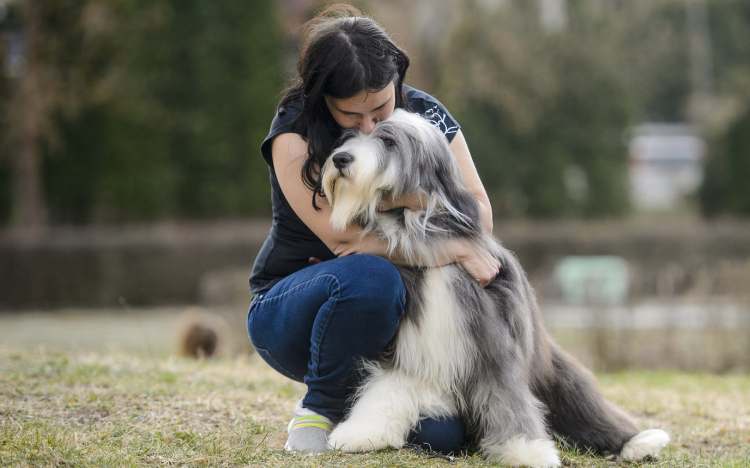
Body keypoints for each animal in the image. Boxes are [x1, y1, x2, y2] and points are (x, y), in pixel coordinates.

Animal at [320, 108, 672, 466]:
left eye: (389, 142)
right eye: (352, 135)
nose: (340, 158)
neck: (421, 233)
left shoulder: (493, 343)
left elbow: (506, 396)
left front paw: (526, 449)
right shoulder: (413, 346)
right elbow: (387, 388)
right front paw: (361, 432)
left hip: (555, 372)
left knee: (582, 402)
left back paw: (638, 441)